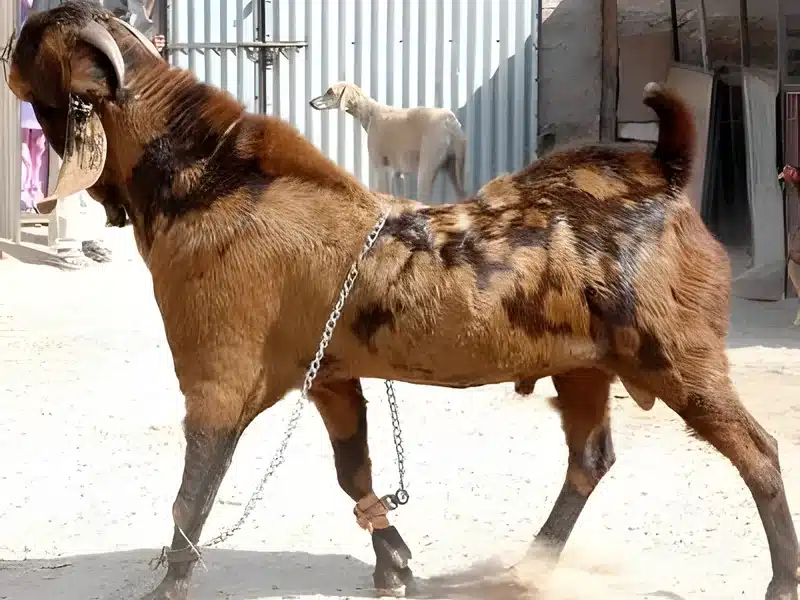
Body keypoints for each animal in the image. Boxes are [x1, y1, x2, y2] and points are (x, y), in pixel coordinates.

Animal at [309, 81, 468, 203]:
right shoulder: (396, 170)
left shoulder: (381, 166)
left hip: (427, 166)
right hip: (455, 167)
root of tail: (450, 121)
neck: (370, 111)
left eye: (330, 91)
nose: (310, 102)